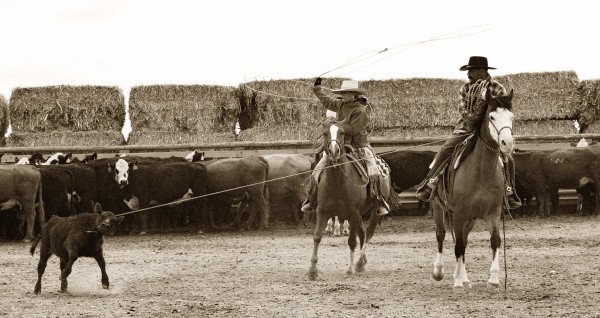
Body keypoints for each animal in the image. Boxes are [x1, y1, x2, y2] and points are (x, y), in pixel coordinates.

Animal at [308, 119, 386, 280]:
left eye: (342, 133)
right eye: (325, 133)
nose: (333, 151)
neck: (337, 181)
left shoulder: (353, 213)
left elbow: (351, 241)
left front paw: (349, 269)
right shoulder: (322, 211)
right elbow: (317, 237)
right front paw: (312, 270)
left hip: (373, 212)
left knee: (367, 234)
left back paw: (359, 262)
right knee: (362, 234)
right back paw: (362, 262)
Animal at [432, 88, 516, 290]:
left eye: (512, 117)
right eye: (492, 116)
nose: (507, 143)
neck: (481, 172)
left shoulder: (493, 212)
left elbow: (495, 240)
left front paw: (494, 279)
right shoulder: (459, 213)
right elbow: (457, 245)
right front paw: (456, 281)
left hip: (469, 220)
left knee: (464, 241)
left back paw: (465, 277)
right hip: (439, 208)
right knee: (441, 235)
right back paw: (439, 271)